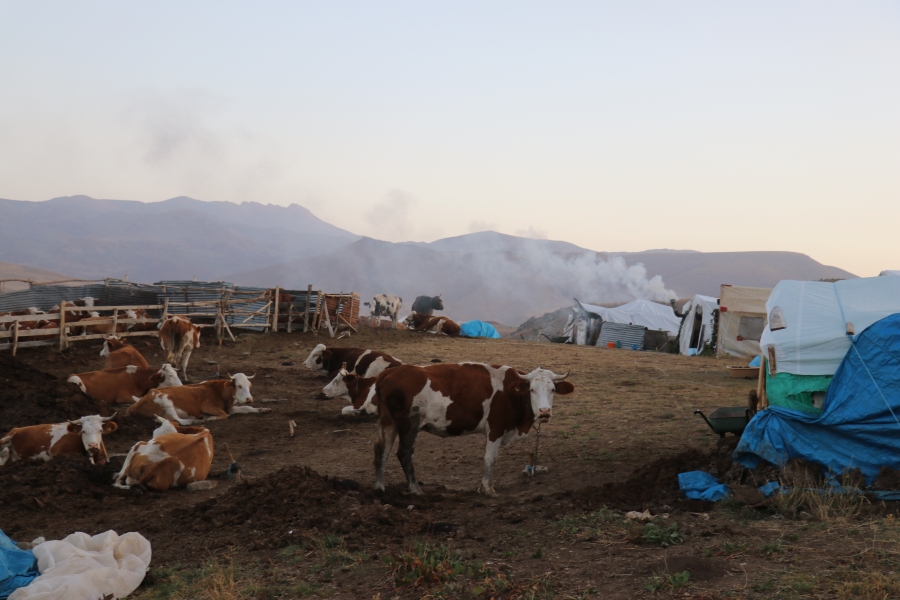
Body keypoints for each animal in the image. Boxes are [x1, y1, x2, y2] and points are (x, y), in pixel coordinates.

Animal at [126, 372, 268, 424]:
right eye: (239, 386)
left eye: (249, 385)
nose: (249, 398)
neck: (219, 391)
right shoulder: (207, 407)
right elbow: (224, 415)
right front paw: (210, 418)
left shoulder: (231, 408)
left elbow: (247, 408)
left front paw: (263, 409)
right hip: (166, 401)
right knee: (177, 420)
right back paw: (195, 421)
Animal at [374, 360, 572, 496]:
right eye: (532, 389)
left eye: (553, 389)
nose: (544, 411)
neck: (511, 393)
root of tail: (390, 372)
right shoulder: (496, 429)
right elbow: (490, 458)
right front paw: (488, 489)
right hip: (409, 425)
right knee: (404, 453)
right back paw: (416, 490)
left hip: (388, 422)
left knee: (382, 450)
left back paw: (379, 487)